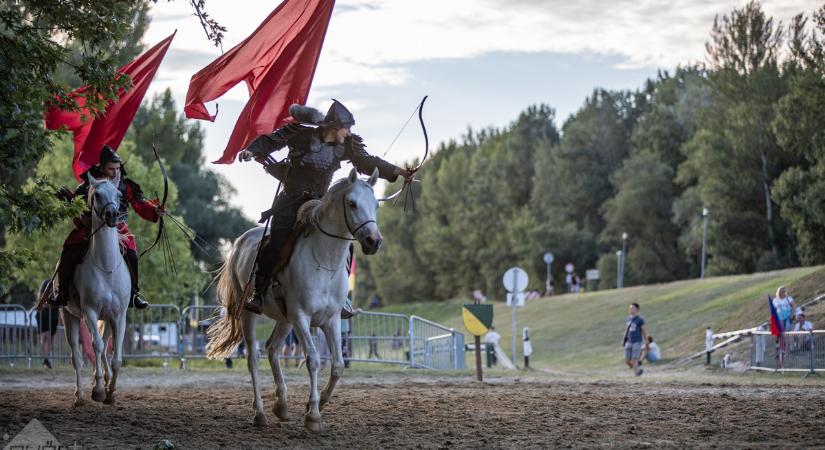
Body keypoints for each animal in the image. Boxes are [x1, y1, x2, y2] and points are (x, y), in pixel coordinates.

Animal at [60, 174, 130, 406]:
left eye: (119, 194)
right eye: (96, 194)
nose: (112, 215)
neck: (106, 267)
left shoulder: (119, 316)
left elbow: (116, 357)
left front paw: (111, 392)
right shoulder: (89, 311)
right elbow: (97, 346)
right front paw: (99, 389)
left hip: (105, 318)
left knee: (104, 342)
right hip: (69, 316)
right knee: (77, 356)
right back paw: (80, 395)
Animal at [209, 169, 384, 432]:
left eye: (376, 204)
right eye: (352, 203)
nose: (374, 240)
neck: (324, 260)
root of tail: (239, 244)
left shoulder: (331, 320)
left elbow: (338, 365)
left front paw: (319, 403)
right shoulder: (302, 316)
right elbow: (312, 359)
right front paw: (312, 415)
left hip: (285, 319)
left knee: (272, 349)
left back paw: (281, 405)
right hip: (250, 313)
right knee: (253, 357)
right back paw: (260, 412)